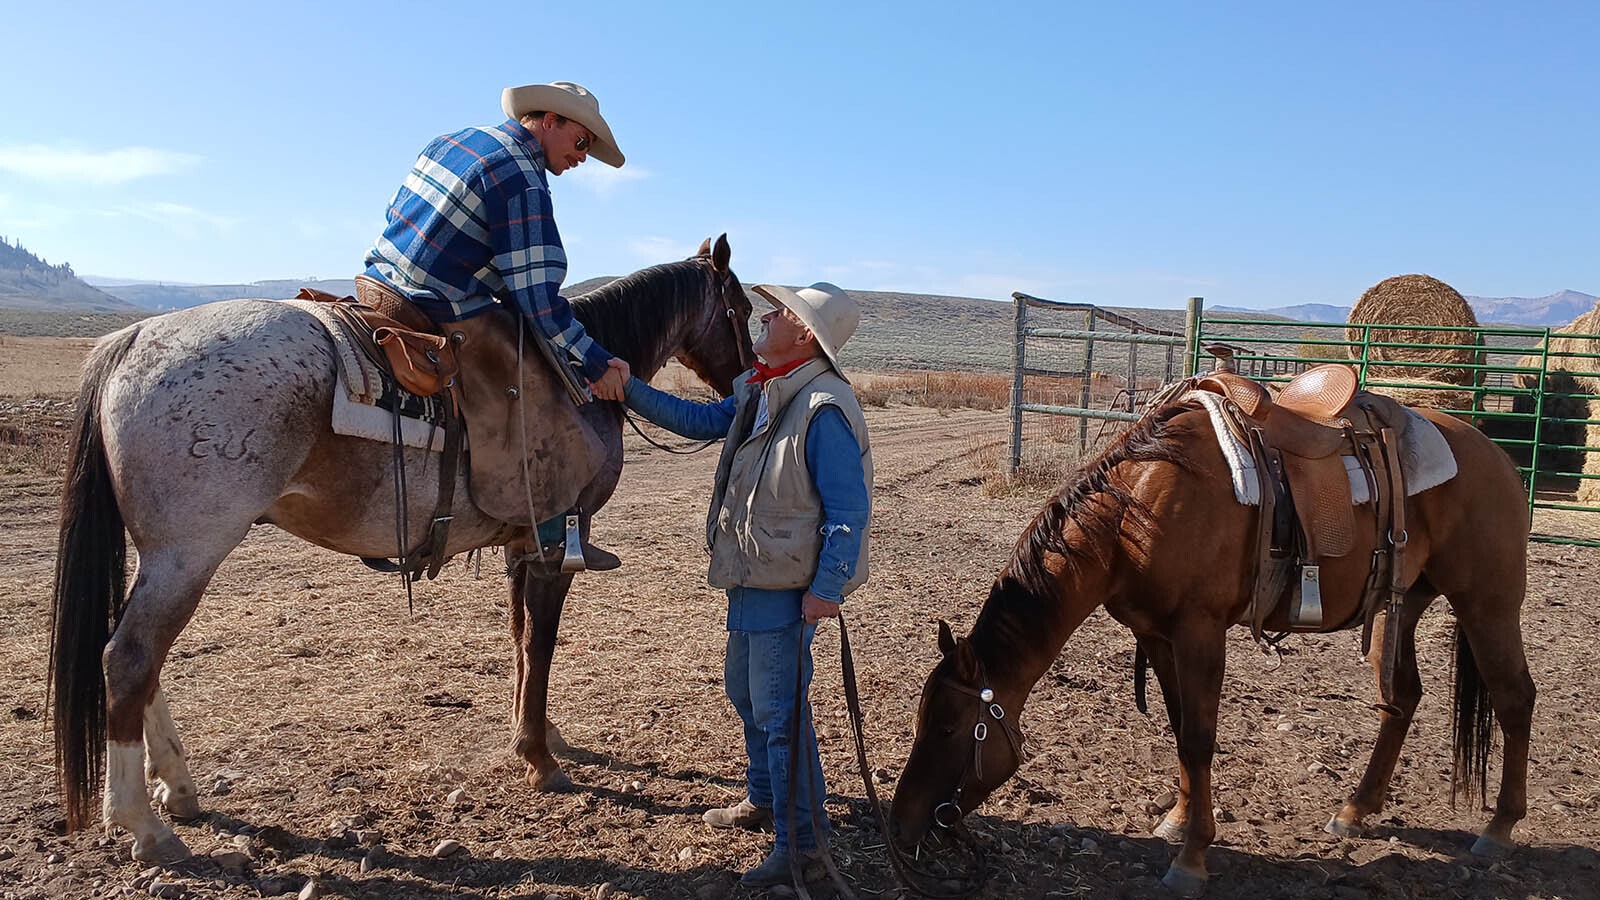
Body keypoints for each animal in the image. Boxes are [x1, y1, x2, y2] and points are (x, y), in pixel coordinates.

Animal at [46, 235, 752, 858]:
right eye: (743, 311)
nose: (747, 382)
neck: (579, 384)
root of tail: (133, 339)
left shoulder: (522, 543)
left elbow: (521, 640)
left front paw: (535, 730)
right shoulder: (558, 546)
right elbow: (541, 643)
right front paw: (539, 757)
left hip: (162, 558)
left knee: (137, 659)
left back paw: (178, 789)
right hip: (188, 553)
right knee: (129, 659)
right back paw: (144, 824)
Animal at [896, 381, 1529, 883]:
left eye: (950, 727)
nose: (904, 821)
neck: (1136, 511)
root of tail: (1497, 457)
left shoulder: (1200, 631)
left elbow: (1199, 737)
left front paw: (1192, 858)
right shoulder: (1155, 635)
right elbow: (1180, 729)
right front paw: (1177, 822)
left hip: (1488, 604)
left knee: (1514, 698)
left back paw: (1498, 828)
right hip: (1402, 608)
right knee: (1402, 697)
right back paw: (1356, 810)